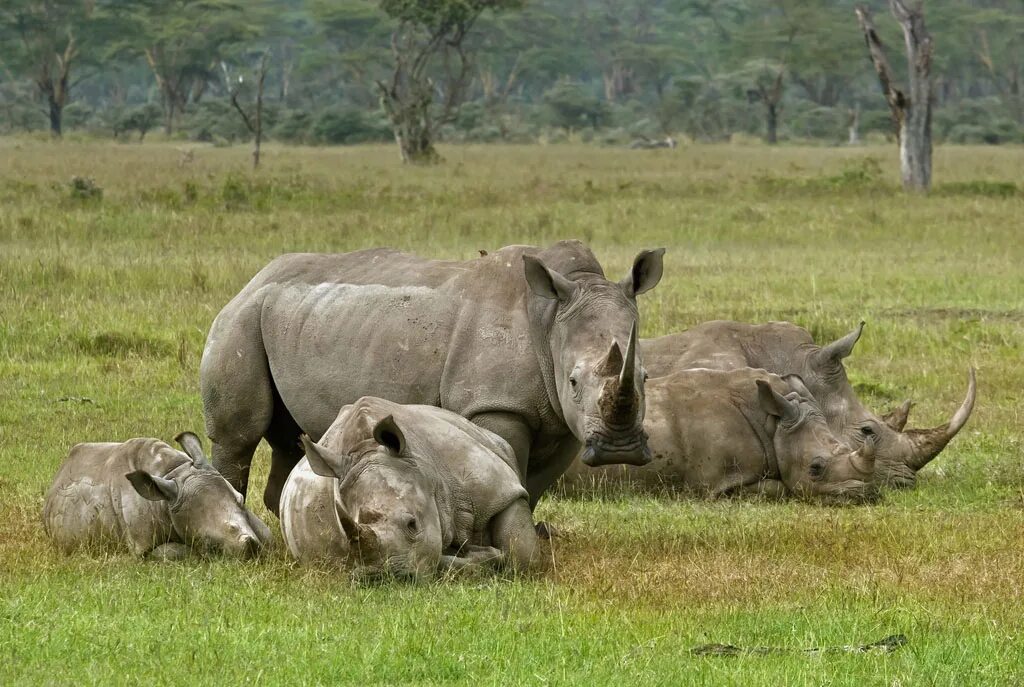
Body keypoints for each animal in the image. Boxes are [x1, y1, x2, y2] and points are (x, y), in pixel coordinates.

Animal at [43, 432, 272, 561]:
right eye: (206, 543)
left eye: (241, 500)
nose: (252, 549)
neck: (173, 473)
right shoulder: (140, 546)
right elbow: (175, 552)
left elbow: (266, 533)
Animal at [280, 397, 544, 581]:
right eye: (348, 538)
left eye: (412, 524)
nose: (382, 578)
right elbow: (438, 558)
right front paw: (482, 555)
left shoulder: (497, 488)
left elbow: (524, 555)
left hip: (484, 437)